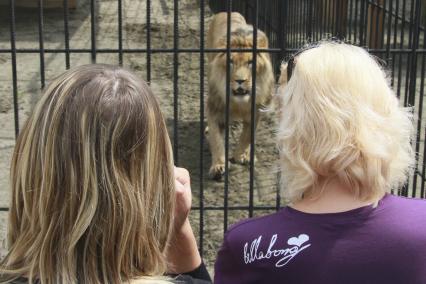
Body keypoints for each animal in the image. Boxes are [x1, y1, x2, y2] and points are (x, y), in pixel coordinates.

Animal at [206, 12, 272, 180]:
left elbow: (247, 135)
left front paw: (241, 155)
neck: (238, 104)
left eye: (250, 62)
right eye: (230, 61)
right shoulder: (215, 108)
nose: (240, 80)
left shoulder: (256, 111)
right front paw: (219, 165)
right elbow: (216, 139)